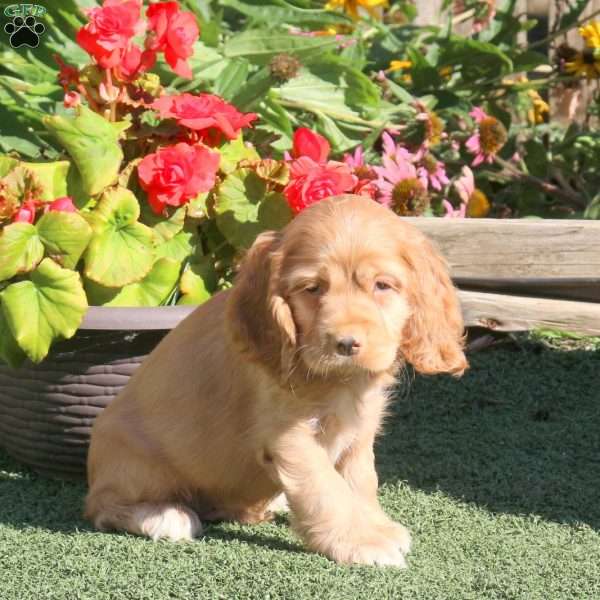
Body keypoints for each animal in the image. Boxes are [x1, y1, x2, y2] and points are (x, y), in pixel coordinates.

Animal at [85, 193, 468, 568]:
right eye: (312, 289)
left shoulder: (360, 427)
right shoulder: (288, 435)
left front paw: (374, 524)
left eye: (382, 286)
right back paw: (165, 516)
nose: (346, 344)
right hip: (136, 466)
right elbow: (326, 488)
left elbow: (360, 480)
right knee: (102, 507)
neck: (339, 382)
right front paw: (363, 541)